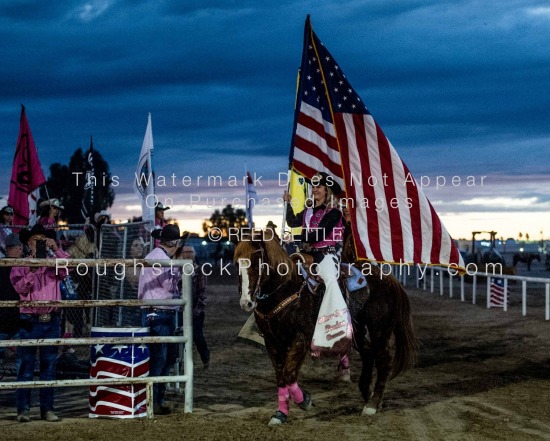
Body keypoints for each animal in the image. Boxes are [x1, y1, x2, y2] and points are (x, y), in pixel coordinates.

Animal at [234, 227, 418, 422]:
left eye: (256, 263)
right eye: (237, 264)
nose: (246, 303)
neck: (287, 289)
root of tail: (389, 278)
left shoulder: (301, 338)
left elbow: (289, 373)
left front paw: (305, 401)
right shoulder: (272, 342)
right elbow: (281, 377)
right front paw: (280, 414)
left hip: (379, 329)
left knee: (383, 360)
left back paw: (373, 405)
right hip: (359, 330)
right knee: (368, 354)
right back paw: (367, 394)